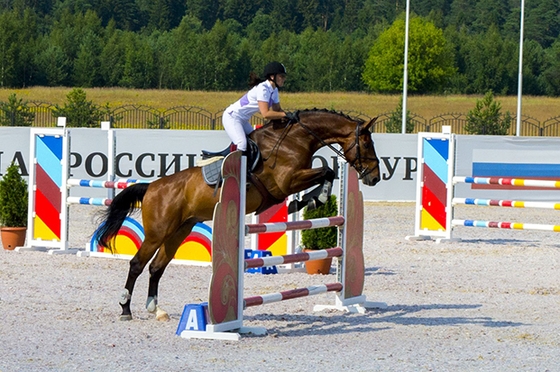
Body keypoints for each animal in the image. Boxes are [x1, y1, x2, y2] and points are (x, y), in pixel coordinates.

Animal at [95, 109, 380, 322]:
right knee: (137, 264)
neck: (294, 140)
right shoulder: (286, 182)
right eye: (367, 143)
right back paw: (125, 309)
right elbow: (326, 171)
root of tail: (152, 187)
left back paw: (156, 309)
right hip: (158, 232)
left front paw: (309, 200)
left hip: (179, 231)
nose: (375, 177)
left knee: (156, 267)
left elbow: (327, 173)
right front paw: (310, 200)